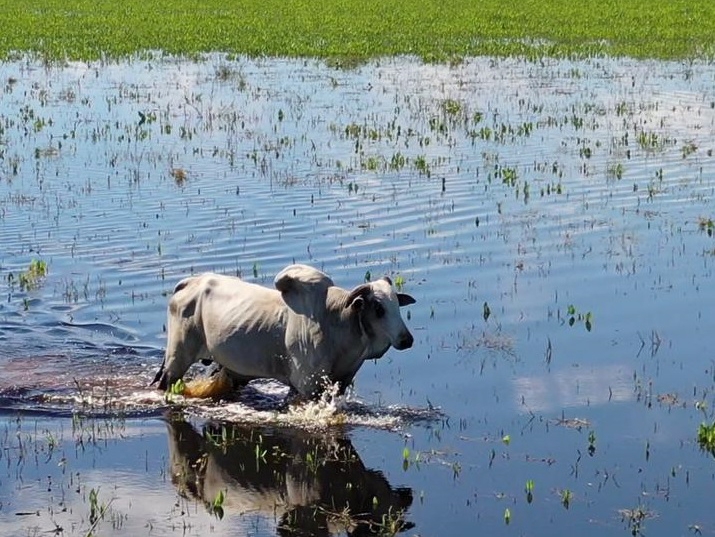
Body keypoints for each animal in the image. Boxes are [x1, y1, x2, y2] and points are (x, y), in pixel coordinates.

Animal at [154, 264, 416, 398]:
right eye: (379, 308)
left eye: (397, 304)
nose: (407, 339)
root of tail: (189, 283)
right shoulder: (306, 384)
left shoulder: (338, 382)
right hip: (177, 358)